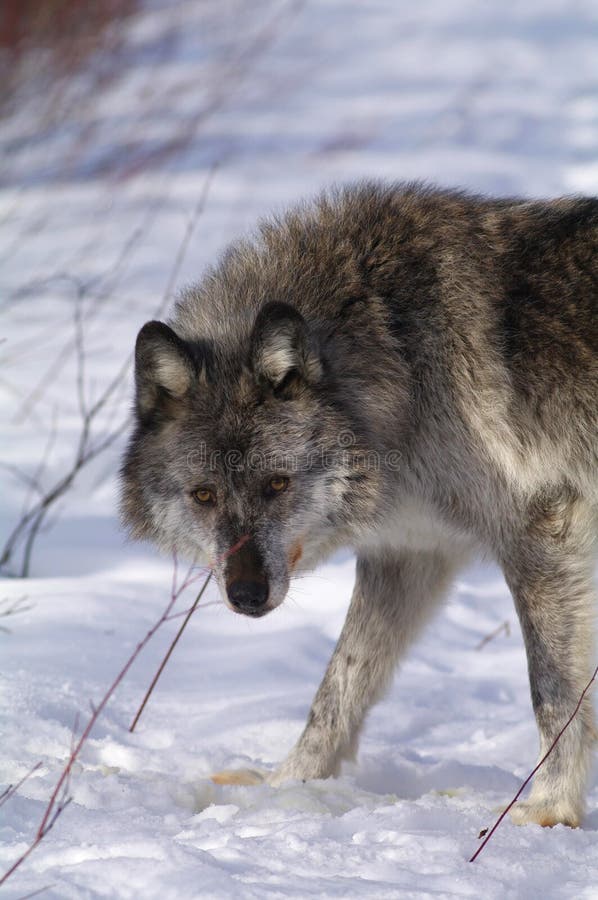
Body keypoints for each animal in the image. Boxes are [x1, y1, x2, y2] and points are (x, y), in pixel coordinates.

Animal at [122, 183, 598, 828]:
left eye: (278, 484)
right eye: (204, 495)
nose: (246, 595)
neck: (403, 357)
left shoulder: (542, 533)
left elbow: (551, 691)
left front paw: (546, 811)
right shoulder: (409, 553)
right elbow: (338, 686)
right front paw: (285, 785)